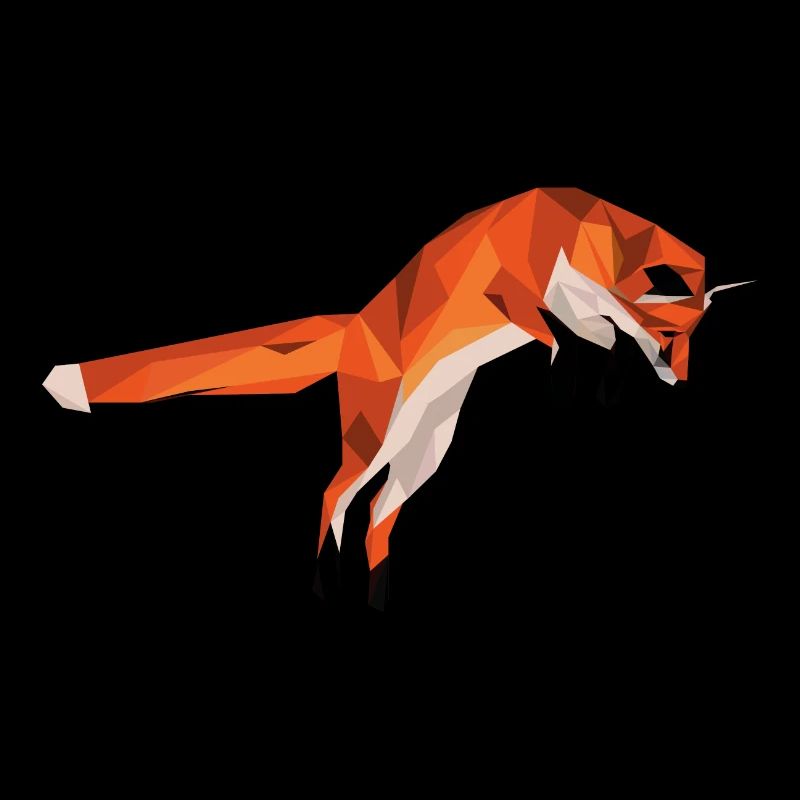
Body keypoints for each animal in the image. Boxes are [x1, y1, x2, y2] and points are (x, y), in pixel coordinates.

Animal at [43, 187, 750, 601]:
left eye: (693, 343)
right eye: (673, 337)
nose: (684, 381)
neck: (579, 231)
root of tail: (354, 325)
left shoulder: (580, 303)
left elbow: (599, 330)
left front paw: (596, 377)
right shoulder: (517, 288)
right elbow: (555, 325)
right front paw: (567, 364)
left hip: (424, 449)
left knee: (379, 519)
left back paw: (376, 590)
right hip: (375, 433)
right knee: (333, 495)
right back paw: (325, 577)